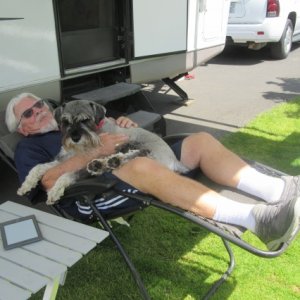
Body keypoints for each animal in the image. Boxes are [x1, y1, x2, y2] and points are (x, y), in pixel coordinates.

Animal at [17, 99, 189, 205]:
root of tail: (174, 160)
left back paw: (111, 162)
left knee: (133, 156)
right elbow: (38, 167)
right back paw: (101, 165)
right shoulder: (63, 159)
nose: (75, 137)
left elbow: (68, 174)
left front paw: (54, 191)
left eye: (85, 120)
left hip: (144, 149)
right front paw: (26, 185)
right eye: (65, 121)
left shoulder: (81, 164)